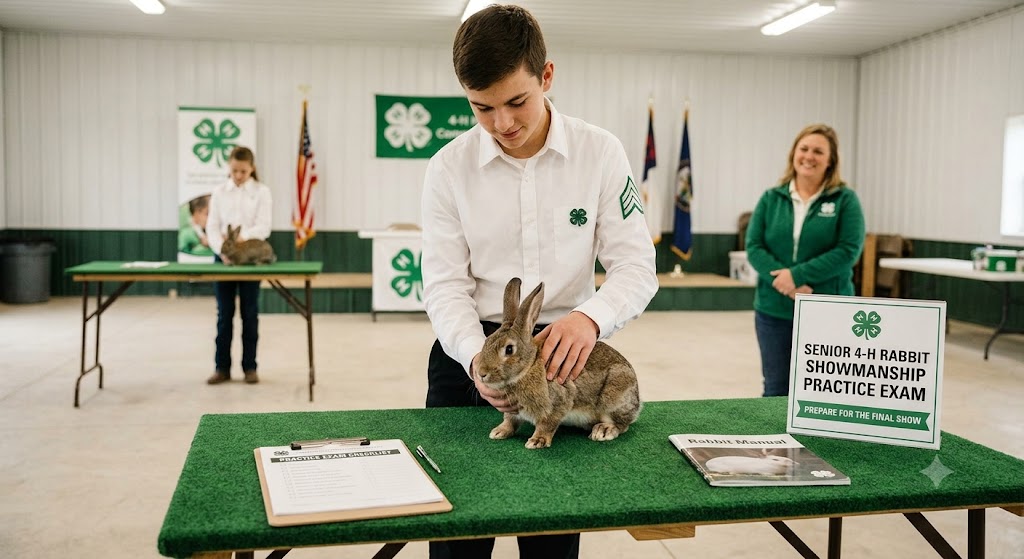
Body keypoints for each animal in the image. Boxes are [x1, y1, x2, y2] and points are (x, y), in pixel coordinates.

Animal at [476, 277, 642, 449]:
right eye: (486, 342)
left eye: (509, 349)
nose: (481, 374)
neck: (529, 366)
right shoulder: (513, 411)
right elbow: (510, 421)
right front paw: (499, 432)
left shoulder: (557, 403)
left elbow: (546, 424)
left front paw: (537, 441)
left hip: (613, 397)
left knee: (622, 424)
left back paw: (604, 430)